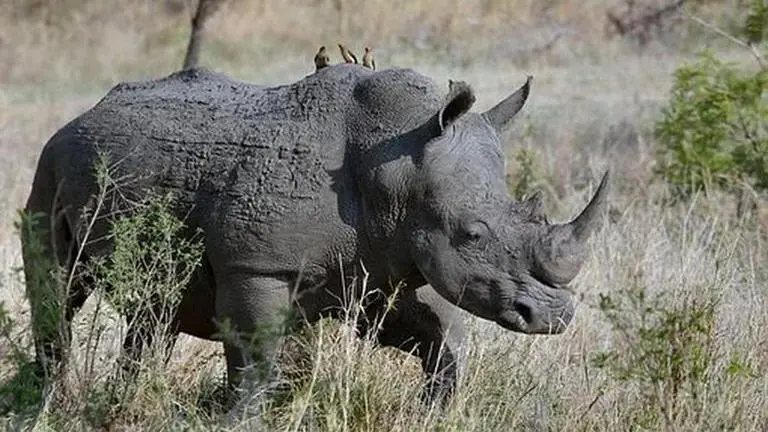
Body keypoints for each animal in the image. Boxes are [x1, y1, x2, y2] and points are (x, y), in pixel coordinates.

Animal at [22, 64, 609, 403]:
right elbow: (255, 360)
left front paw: (433, 408)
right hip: (50, 162)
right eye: (472, 234)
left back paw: (118, 402)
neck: (397, 167)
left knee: (155, 309)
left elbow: (438, 335)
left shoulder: (376, 263)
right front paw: (242, 417)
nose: (553, 318)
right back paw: (51, 402)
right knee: (57, 287)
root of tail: (83, 113)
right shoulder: (257, 266)